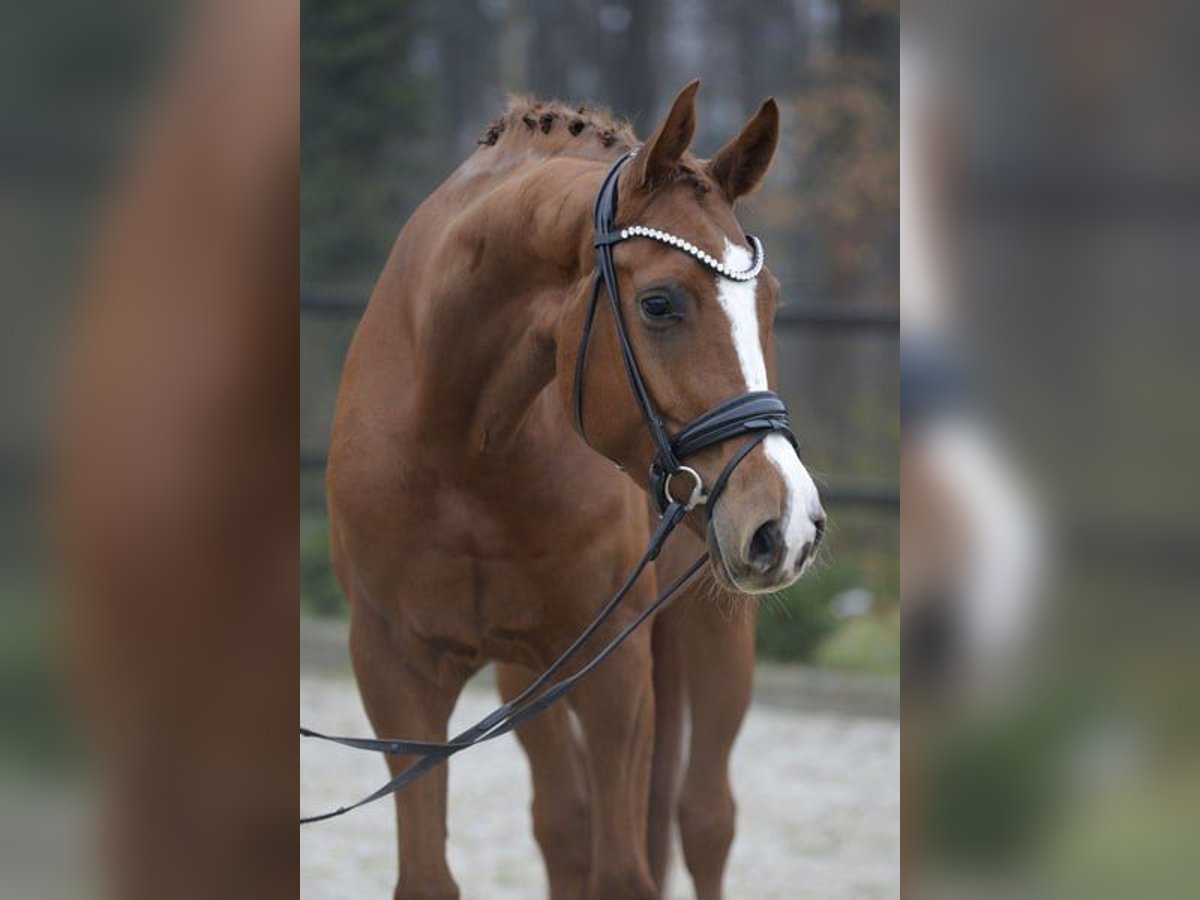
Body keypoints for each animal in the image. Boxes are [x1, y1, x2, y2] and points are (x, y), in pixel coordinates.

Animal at [328, 81, 825, 897]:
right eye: (658, 303)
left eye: (772, 304)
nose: (787, 524)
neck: (464, 448)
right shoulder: (396, 671)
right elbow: (433, 873)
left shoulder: (614, 671)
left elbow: (624, 871)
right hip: (524, 675)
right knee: (562, 822)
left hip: (708, 627)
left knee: (705, 819)